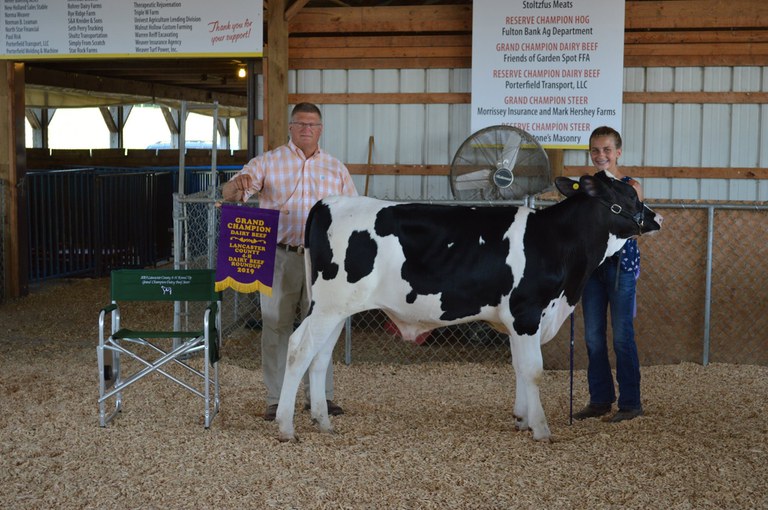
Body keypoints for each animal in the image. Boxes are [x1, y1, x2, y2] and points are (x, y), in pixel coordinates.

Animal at [274, 172, 660, 442]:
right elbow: (533, 370)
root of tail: (326, 202)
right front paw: (541, 428)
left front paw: (521, 419)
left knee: (320, 358)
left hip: (337, 310)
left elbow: (519, 368)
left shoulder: (516, 321)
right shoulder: (526, 313)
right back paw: (286, 427)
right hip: (328, 306)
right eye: (628, 195)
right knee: (298, 348)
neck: (556, 242)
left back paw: (323, 422)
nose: (656, 217)